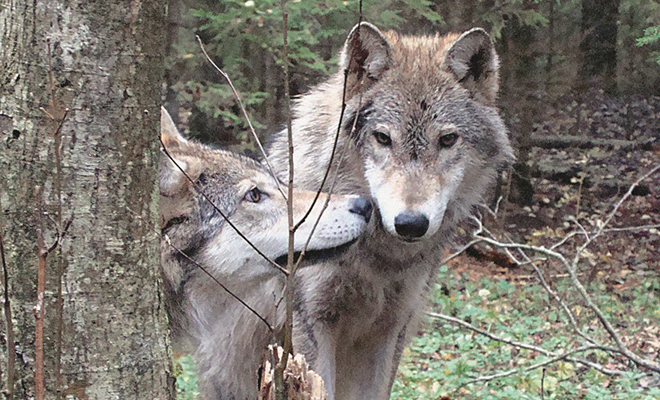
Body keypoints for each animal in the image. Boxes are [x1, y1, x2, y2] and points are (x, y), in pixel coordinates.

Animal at [266, 22, 512, 400]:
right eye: (383, 138)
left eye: (447, 140)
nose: (411, 223)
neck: (380, 259)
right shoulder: (311, 325)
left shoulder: (392, 330)